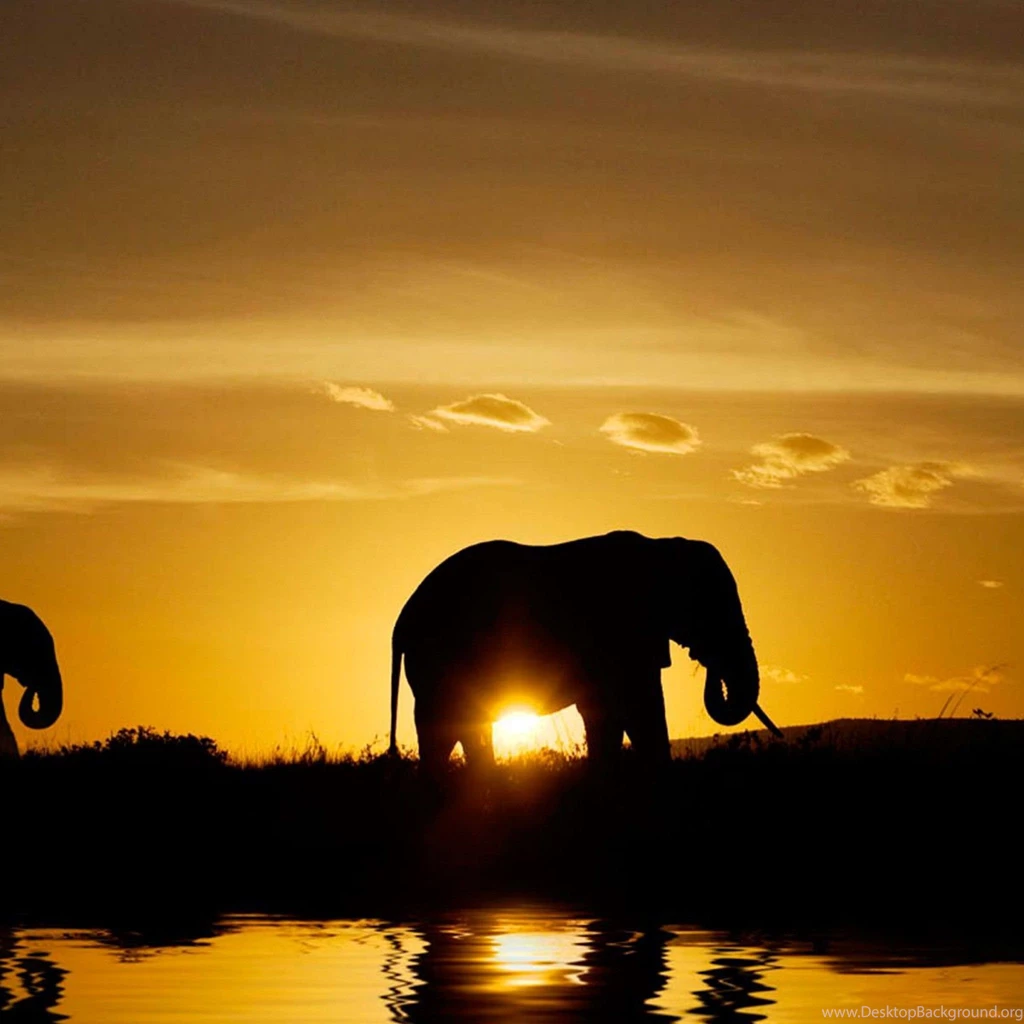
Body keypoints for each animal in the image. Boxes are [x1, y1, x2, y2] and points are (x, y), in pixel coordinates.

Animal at [388, 530, 779, 773]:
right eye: (710, 608)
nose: (706, 660)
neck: (662, 547)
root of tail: (402, 619)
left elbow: (608, 715)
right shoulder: (621, 633)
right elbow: (639, 709)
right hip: (438, 662)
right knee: (444, 728)